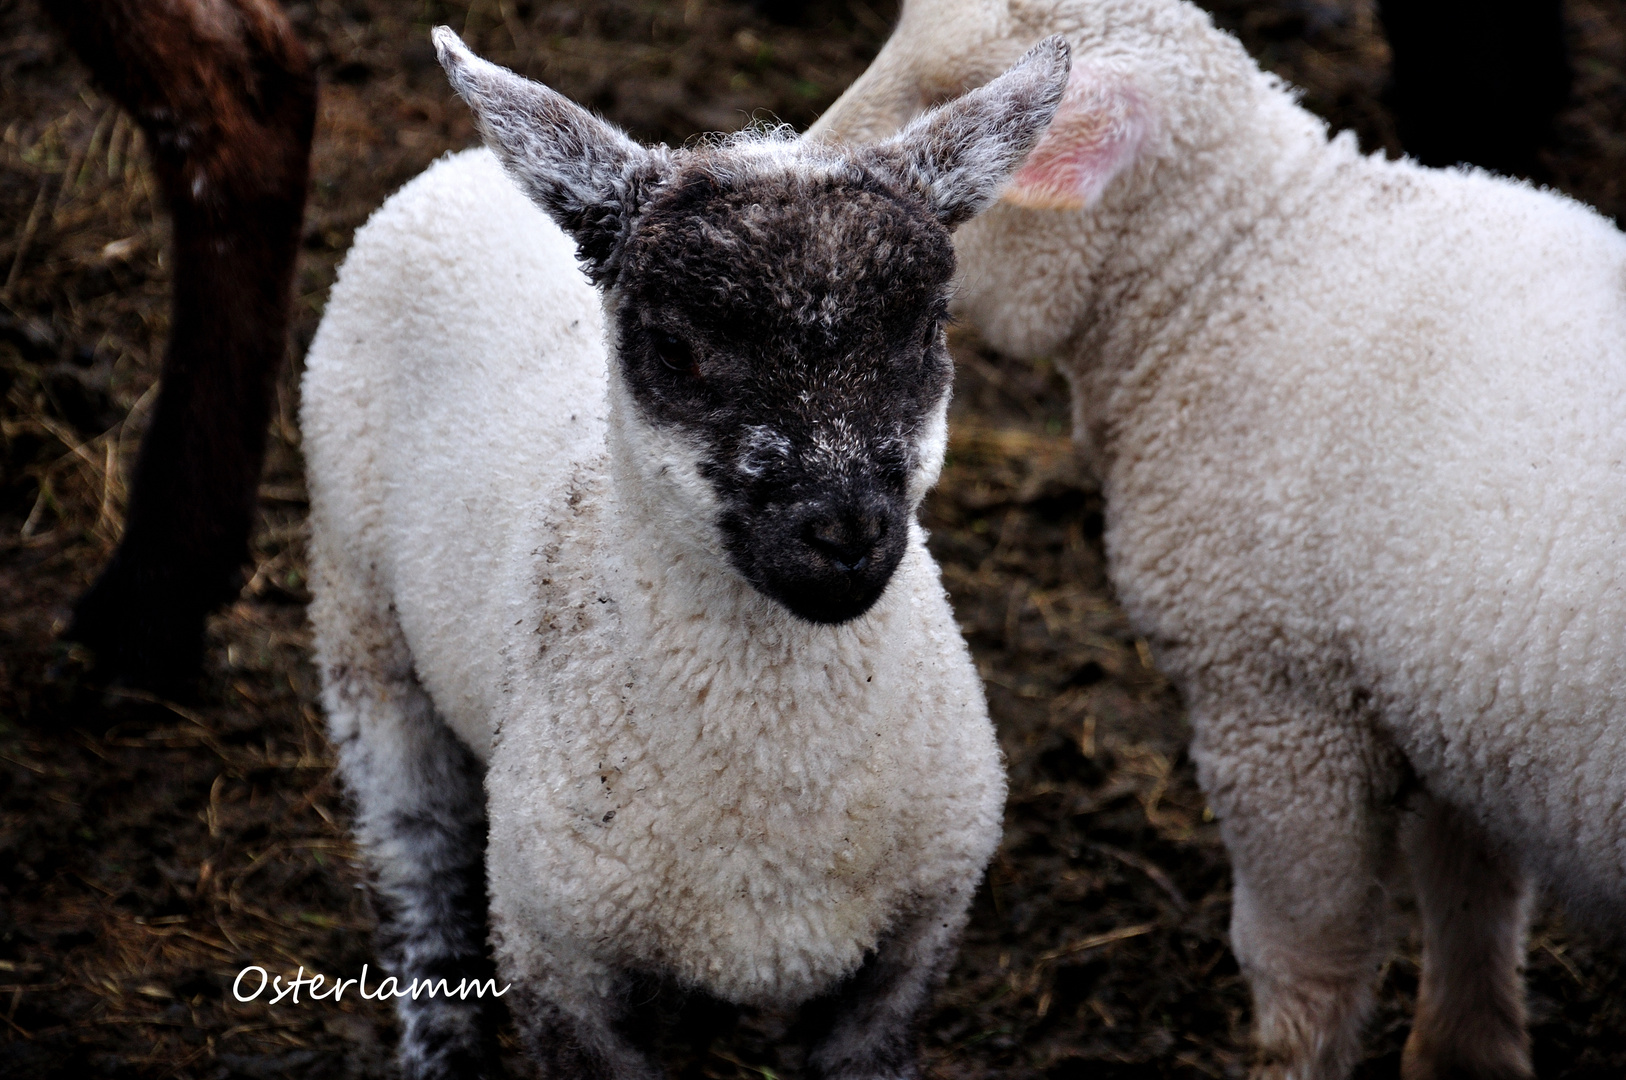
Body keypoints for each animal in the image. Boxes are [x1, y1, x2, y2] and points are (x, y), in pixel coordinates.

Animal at [300, 25, 1073, 1080]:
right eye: (675, 348)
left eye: (925, 331)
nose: (845, 534)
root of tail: (456, 166)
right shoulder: (560, 967)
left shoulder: (911, 949)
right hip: (360, 616)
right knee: (417, 852)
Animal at [819, 2, 1626, 1080]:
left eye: (954, 99)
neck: (1233, 268)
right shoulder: (1449, 693)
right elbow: (1471, 892)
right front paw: (1464, 1052)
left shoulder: (1279, 701)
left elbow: (1305, 961)